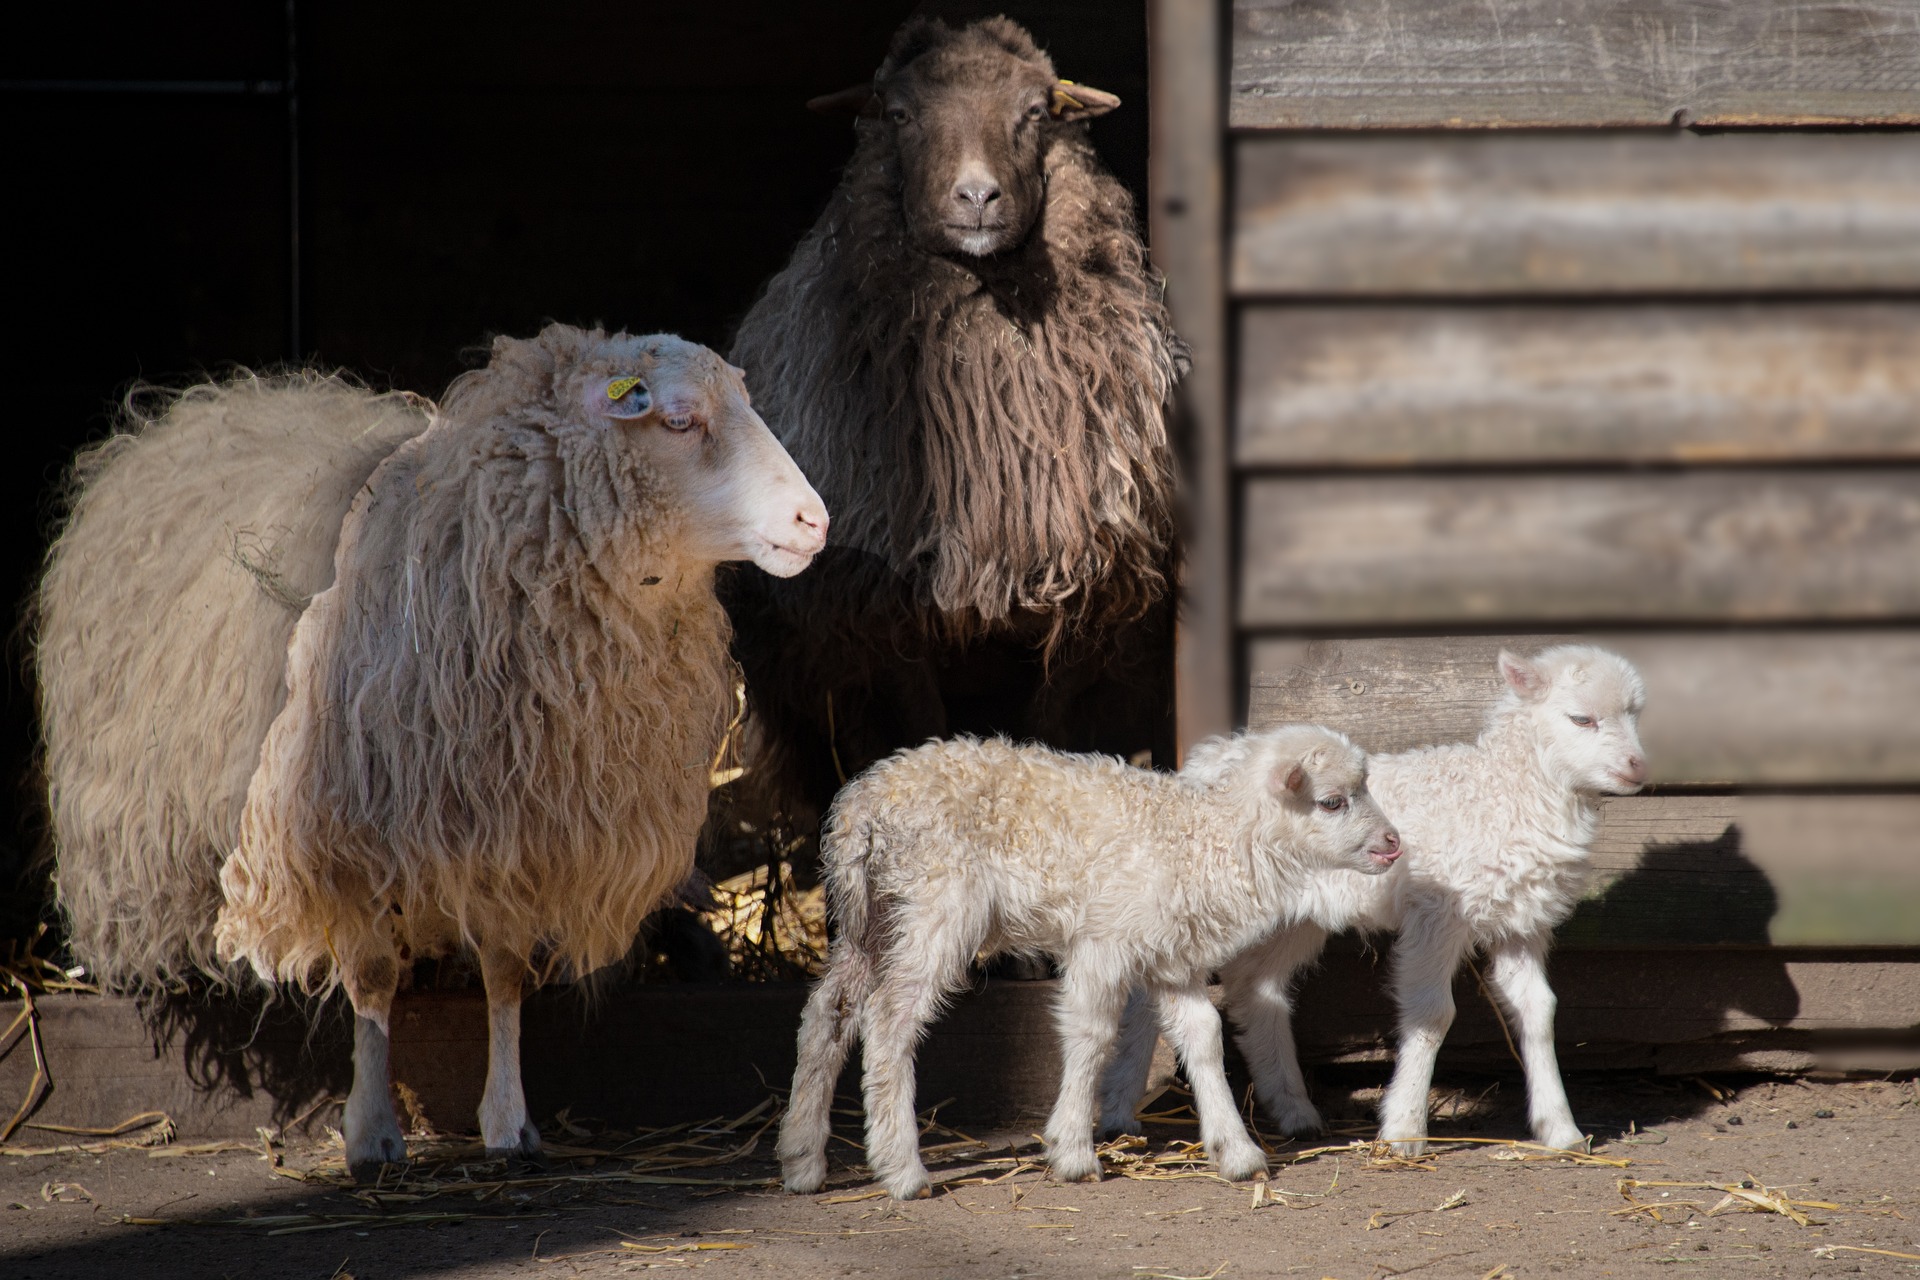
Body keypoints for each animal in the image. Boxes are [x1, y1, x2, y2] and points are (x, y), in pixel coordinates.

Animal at [210, 326, 825, 1174]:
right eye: (678, 421)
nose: (814, 521)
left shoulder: (520, 829)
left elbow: (503, 975)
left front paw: (509, 1121)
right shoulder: (353, 832)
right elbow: (371, 976)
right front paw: (371, 1132)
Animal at [775, 729, 1397, 1205]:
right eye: (1333, 801)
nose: (1393, 844)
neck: (1199, 840)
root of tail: (862, 803)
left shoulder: (1169, 956)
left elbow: (1204, 1037)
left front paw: (1237, 1152)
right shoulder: (1104, 941)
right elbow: (1092, 1036)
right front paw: (1073, 1151)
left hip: (873, 916)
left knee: (827, 1013)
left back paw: (803, 1159)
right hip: (936, 904)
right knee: (889, 1021)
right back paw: (903, 1170)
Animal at [1098, 644, 1651, 1159]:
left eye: (1635, 713)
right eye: (1581, 718)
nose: (1638, 767)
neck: (1503, 792)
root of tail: (1205, 759)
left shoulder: (1521, 920)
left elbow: (1539, 1010)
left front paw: (1561, 1129)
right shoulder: (1436, 912)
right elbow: (1433, 1014)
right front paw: (1404, 1128)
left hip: (1292, 918)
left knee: (1255, 989)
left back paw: (1295, 1111)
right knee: (1152, 994)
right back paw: (1120, 1111)